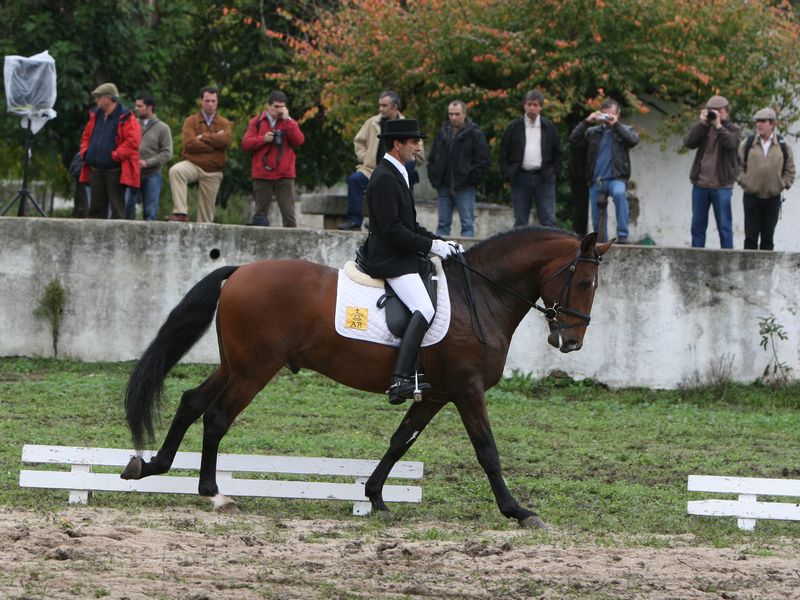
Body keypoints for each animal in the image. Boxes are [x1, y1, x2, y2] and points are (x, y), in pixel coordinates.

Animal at [122, 227, 614, 528]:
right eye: (584, 283)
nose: (571, 342)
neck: (483, 296)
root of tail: (240, 270)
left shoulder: (435, 394)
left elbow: (400, 442)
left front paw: (375, 497)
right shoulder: (467, 390)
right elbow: (487, 451)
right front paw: (518, 511)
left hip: (236, 364)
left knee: (191, 401)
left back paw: (151, 465)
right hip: (255, 369)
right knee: (218, 417)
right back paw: (213, 493)